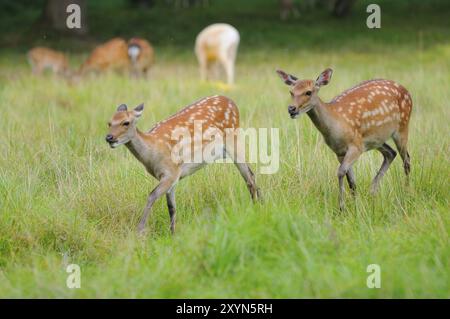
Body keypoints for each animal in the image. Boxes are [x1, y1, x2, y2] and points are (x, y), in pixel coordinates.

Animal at [106, 95, 260, 235]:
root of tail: (232, 102)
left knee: (249, 177)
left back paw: (256, 208)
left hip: (233, 140)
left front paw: (139, 231)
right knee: (251, 173)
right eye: (109, 123)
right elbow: (171, 207)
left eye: (126, 122)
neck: (152, 154)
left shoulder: (171, 172)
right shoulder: (172, 177)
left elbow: (152, 195)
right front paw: (172, 234)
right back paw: (261, 205)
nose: (109, 137)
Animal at [274, 69, 412, 211]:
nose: (291, 109)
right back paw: (372, 191)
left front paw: (342, 207)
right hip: (376, 140)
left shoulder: (356, 146)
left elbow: (340, 172)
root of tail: (406, 91)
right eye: (291, 92)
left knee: (406, 160)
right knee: (391, 153)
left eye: (308, 92)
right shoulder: (339, 151)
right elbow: (351, 181)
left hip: (402, 126)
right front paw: (355, 204)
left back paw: (406, 192)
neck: (336, 126)